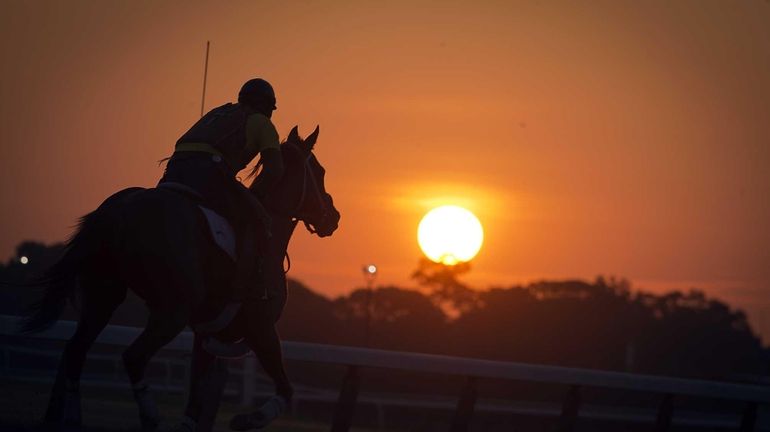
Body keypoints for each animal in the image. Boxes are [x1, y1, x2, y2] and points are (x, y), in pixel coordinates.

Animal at [23, 124, 340, 428]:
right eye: (321, 172)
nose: (333, 217)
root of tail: (120, 210)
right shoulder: (261, 329)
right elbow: (286, 389)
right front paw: (248, 419)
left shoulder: (207, 335)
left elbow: (195, 403)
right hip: (172, 312)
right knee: (132, 356)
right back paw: (150, 415)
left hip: (103, 297)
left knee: (76, 350)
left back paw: (73, 417)